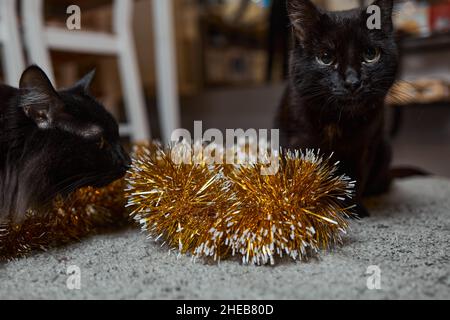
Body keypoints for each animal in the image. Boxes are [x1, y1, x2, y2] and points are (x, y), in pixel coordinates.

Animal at [276, 0, 400, 216]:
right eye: (325, 57)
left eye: (370, 54)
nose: (352, 82)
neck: (336, 118)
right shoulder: (294, 140)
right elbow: (297, 172)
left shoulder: (365, 145)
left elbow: (356, 178)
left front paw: (354, 210)